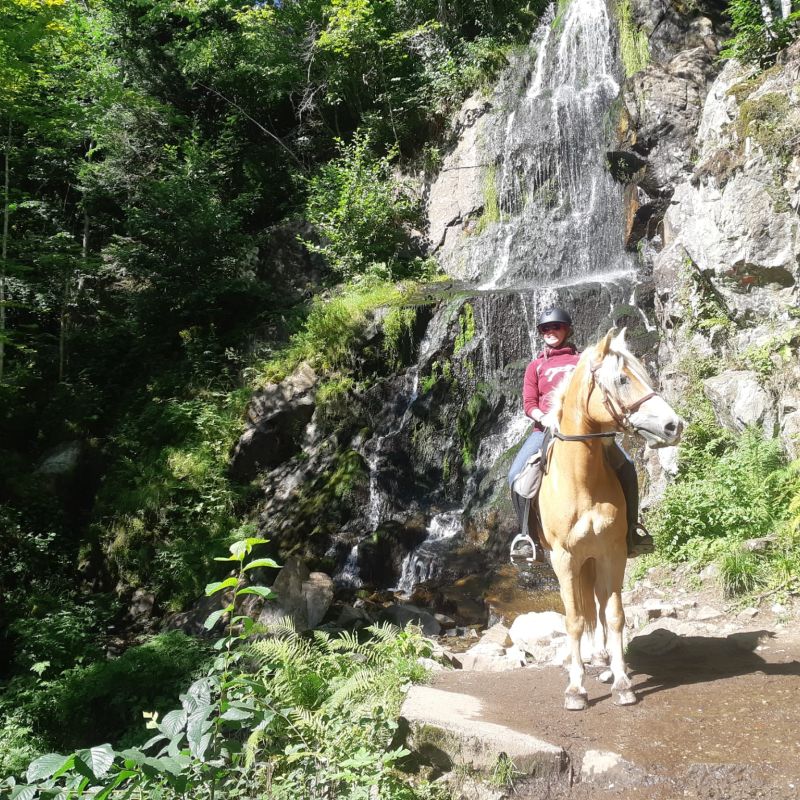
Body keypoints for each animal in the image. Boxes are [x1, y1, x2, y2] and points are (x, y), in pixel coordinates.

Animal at [536, 328, 680, 708]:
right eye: (621, 379)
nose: (674, 425)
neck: (582, 480)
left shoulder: (613, 552)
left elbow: (614, 615)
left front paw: (622, 683)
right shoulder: (564, 558)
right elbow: (573, 619)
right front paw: (575, 688)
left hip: (596, 557)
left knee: (598, 605)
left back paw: (605, 662)